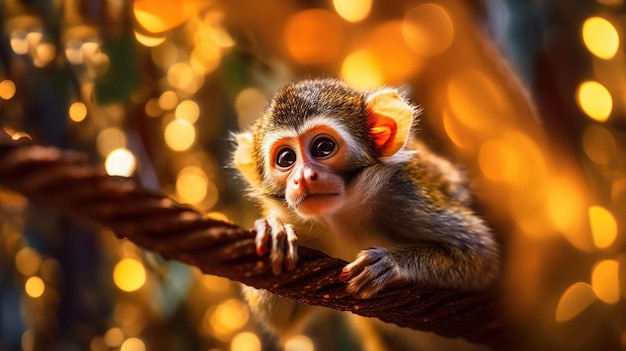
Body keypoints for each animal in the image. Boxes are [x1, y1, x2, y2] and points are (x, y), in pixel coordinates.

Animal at [233, 77, 498, 350]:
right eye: (286, 158)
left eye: (323, 147)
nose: (304, 177)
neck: (344, 216)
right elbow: (281, 321)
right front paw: (275, 234)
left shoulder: (406, 192)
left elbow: (483, 258)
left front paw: (393, 264)